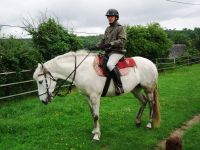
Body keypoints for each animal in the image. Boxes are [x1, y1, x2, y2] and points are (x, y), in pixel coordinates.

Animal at [33, 50, 161, 141]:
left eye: (40, 81)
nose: (43, 101)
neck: (82, 70)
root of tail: (151, 63)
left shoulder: (95, 97)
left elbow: (96, 116)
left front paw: (96, 136)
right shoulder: (88, 97)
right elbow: (92, 114)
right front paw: (94, 131)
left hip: (148, 89)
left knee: (151, 103)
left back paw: (149, 124)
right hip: (135, 89)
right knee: (143, 101)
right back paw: (138, 121)